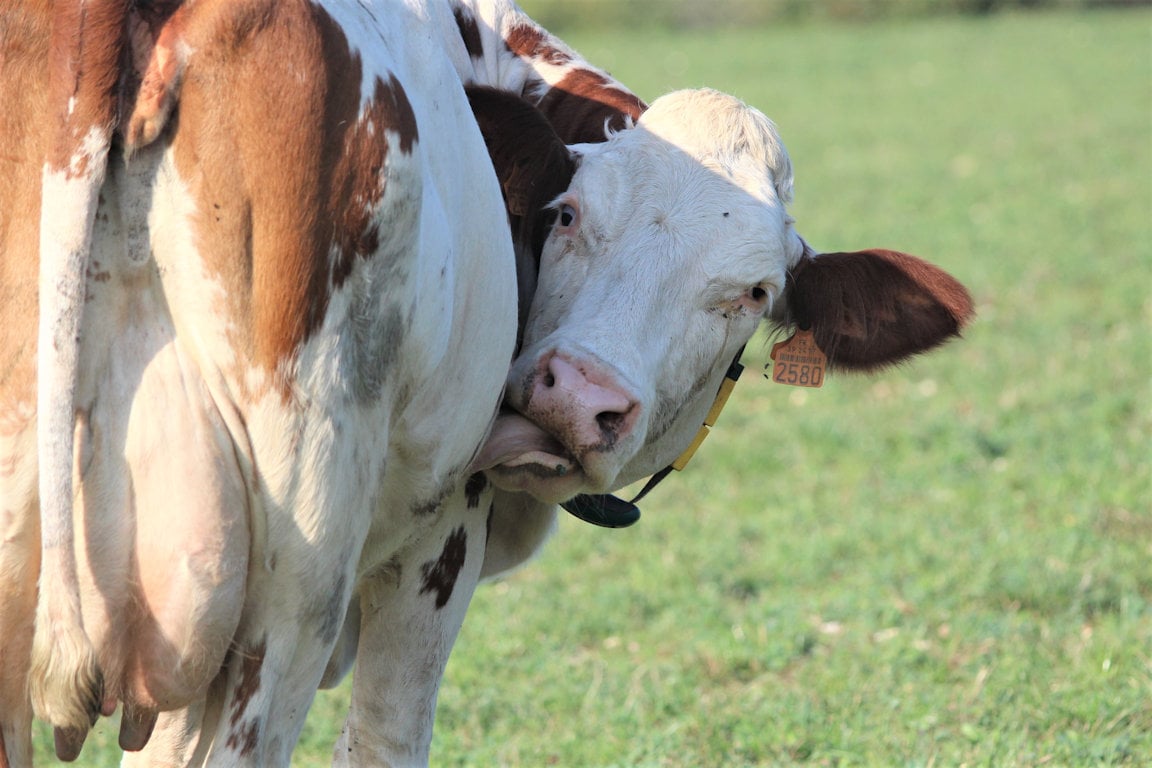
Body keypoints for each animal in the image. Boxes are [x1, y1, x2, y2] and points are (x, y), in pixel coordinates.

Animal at [0, 2, 973, 767]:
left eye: (756, 293)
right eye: (569, 216)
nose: (576, 396)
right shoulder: (437, 545)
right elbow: (385, 740)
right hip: (275, 607)